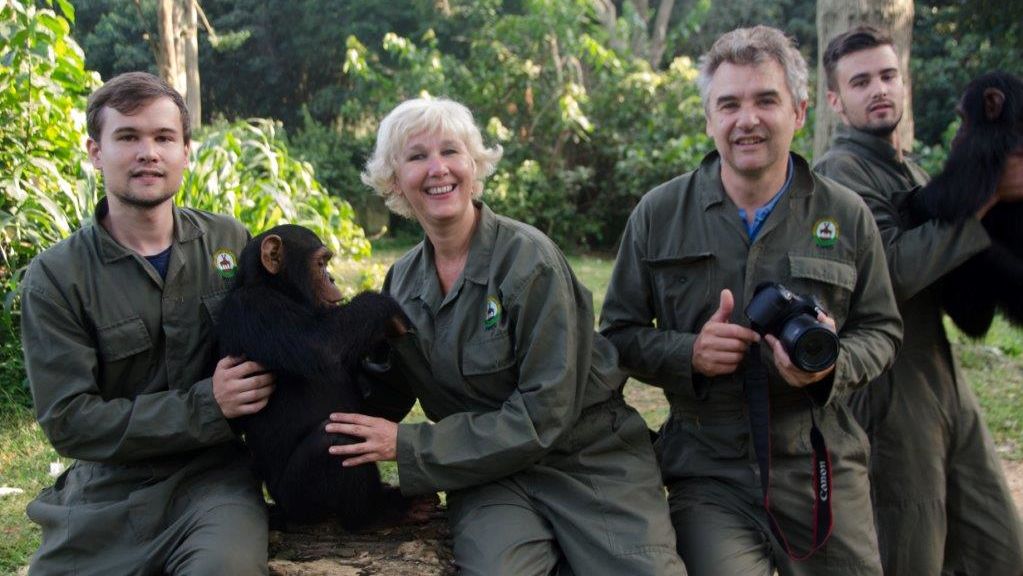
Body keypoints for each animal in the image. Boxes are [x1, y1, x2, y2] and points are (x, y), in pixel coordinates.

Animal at [217, 223, 417, 527]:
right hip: (298, 499)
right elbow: (319, 344)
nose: (332, 278)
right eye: (321, 263)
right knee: (337, 439)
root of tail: (282, 509)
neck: (277, 290)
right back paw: (381, 510)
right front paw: (387, 307)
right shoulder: (254, 307)